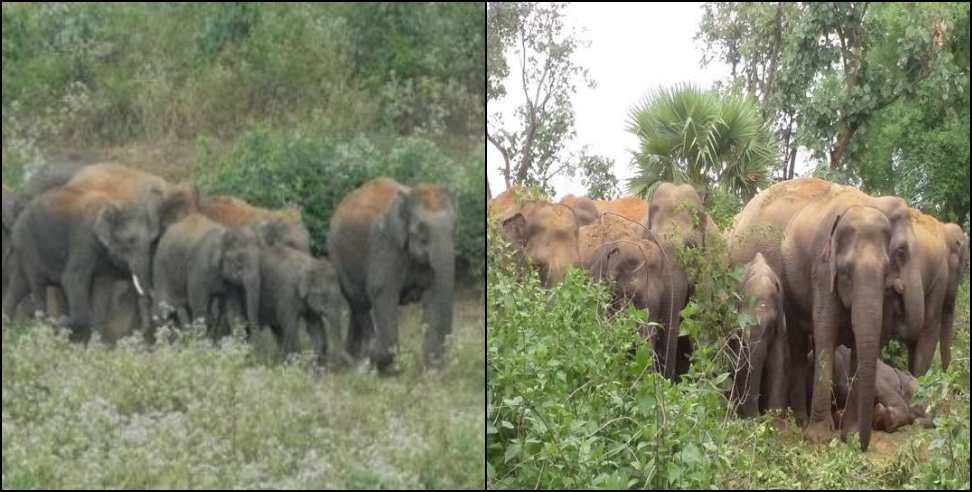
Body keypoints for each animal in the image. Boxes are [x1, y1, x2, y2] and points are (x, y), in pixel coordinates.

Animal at [330, 177, 456, 372]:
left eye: (453, 228)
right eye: (421, 232)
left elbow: (434, 293)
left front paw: (431, 370)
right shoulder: (384, 244)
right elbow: (381, 291)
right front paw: (388, 366)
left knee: (356, 306)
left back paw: (355, 358)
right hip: (338, 256)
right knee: (360, 302)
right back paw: (366, 357)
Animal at [736, 254, 788, 418]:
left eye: (770, 327)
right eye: (743, 326)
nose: (758, 415)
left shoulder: (780, 325)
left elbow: (778, 359)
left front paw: (773, 418)